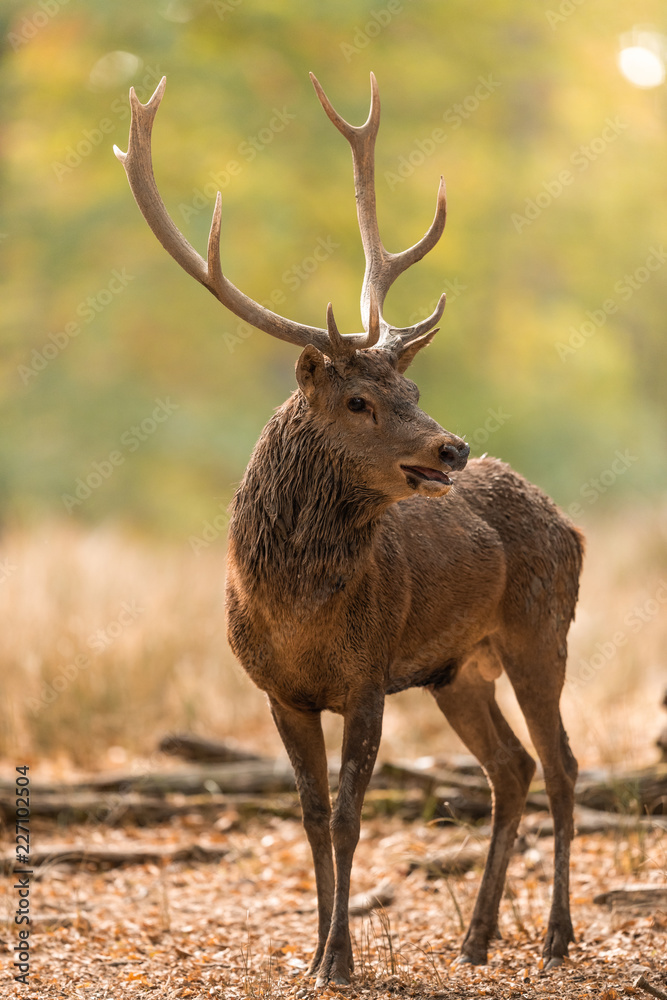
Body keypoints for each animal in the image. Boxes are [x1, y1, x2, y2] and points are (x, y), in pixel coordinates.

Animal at [115, 72, 584, 988]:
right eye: (359, 400)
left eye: (412, 390)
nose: (451, 445)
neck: (296, 616)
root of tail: (569, 526)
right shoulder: (278, 692)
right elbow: (307, 814)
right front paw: (313, 955)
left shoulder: (367, 677)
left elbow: (346, 816)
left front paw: (340, 959)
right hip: (455, 669)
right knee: (508, 768)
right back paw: (475, 939)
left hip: (540, 630)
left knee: (561, 766)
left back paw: (553, 939)